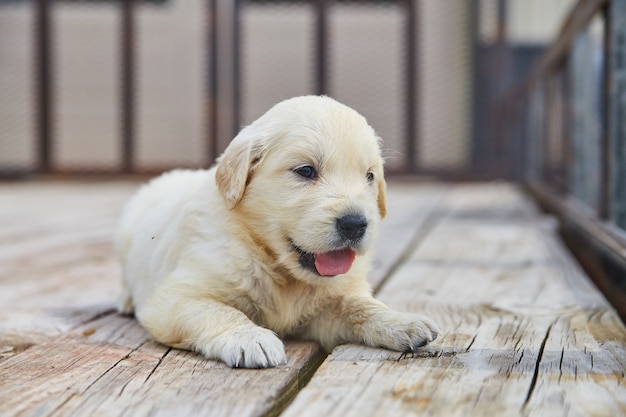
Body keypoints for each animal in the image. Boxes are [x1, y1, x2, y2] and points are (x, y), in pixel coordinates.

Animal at [114, 95, 436, 368]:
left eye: (370, 176)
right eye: (305, 171)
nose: (356, 224)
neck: (274, 265)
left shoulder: (326, 306)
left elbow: (358, 305)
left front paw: (402, 321)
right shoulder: (175, 298)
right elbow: (217, 310)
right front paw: (250, 339)